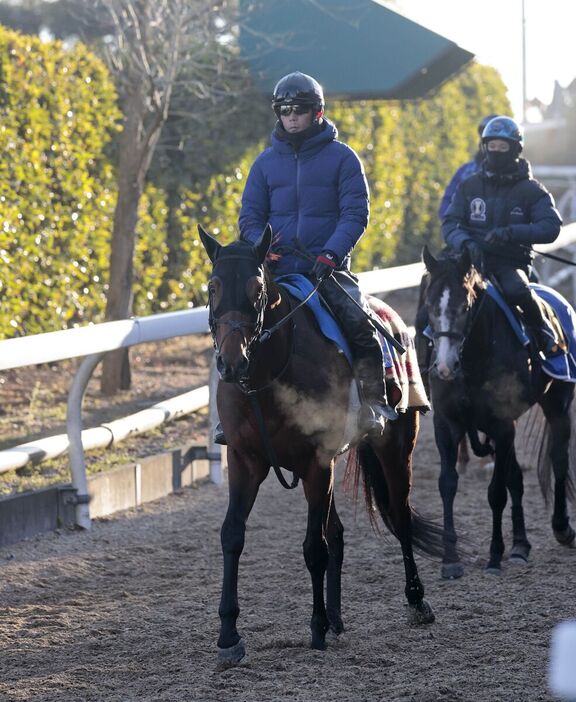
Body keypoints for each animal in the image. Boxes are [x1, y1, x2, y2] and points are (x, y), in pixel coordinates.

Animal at [200, 226, 444, 664]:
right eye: (213, 287)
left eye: (256, 289)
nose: (231, 362)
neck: (270, 377)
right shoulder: (245, 460)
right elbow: (232, 536)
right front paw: (228, 635)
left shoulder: (317, 463)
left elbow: (314, 547)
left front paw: (315, 628)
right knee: (340, 533)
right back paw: (337, 618)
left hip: (396, 447)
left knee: (399, 517)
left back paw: (416, 601)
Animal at [420, 245, 572, 580]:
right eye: (430, 305)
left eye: (465, 306)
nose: (444, 367)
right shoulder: (448, 423)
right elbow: (448, 484)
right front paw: (451, 559)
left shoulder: (502, 425)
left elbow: (496, 493)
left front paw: (493, 556)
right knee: (516, 477)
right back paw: (520, 546)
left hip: (557, 404)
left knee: (558, 459)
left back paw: (561, 528)